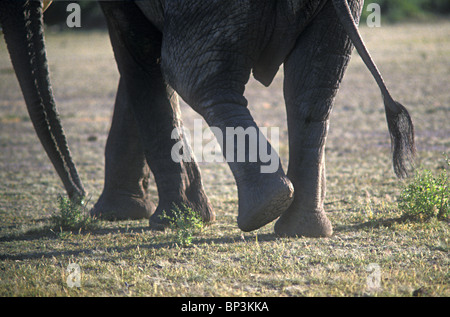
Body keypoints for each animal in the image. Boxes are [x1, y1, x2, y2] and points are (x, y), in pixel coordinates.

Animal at [0, 0, 414, 236]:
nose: (75, 194)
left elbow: (140, 60)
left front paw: (168, 220)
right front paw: (118, 215)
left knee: (194, 77)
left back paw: (265, 209)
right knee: (311, 92)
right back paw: (301, 229)